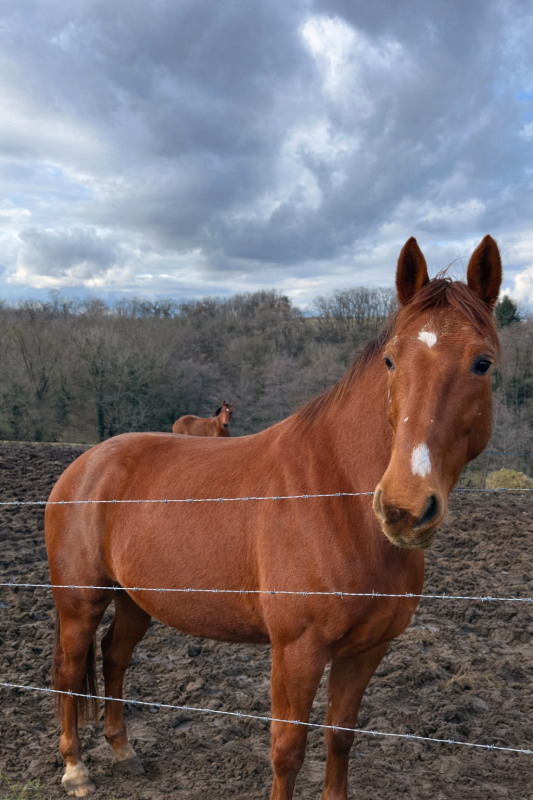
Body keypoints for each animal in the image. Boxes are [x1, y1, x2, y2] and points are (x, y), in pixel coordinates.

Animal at [45, 235, 502, 799]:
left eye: (482, 363)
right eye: (391, 361)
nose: (403, 507)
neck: (337, 498)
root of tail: (84, 465)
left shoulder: (365, 651)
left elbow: (340, 737)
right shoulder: (296, 651)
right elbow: (287, 750)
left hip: (135, 600)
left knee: (114, 656)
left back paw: (123, 752)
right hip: (79, 602)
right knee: (69, 671)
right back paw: (76, 768)